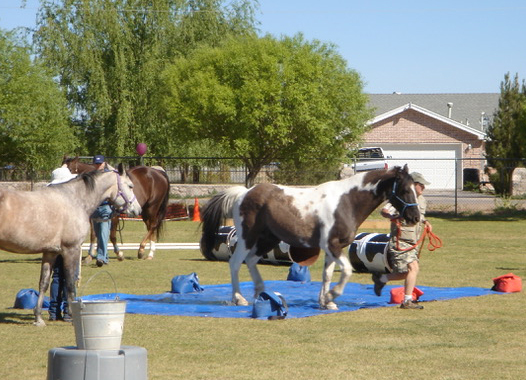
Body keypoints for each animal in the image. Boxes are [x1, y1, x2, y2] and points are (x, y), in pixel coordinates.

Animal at [200, 165, 422, 310]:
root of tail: (244, 193)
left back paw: (259, 293)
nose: (415, 217)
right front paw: (332, 295)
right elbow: (347, 270)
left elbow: (327, 274)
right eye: (404, 190)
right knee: (236, 263)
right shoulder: (332, 245)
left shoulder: (333, 248)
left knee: (251, 261)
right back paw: (239, 299)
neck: (347, 202)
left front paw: (326, 302)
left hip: (267, 240)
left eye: (414, 189)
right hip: (248, 238)